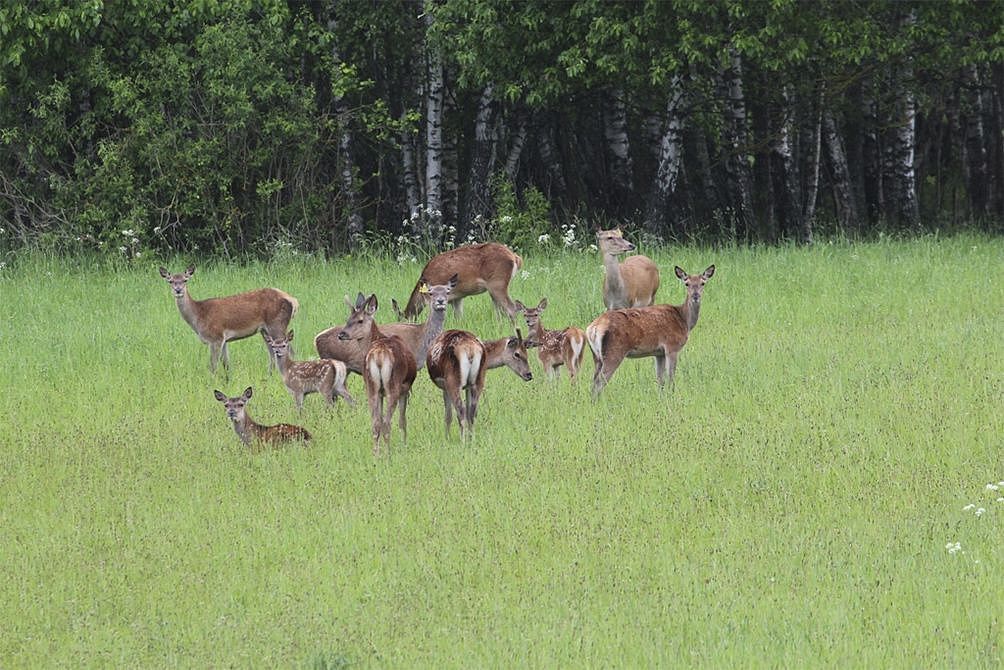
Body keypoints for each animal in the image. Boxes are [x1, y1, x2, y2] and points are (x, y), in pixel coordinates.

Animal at [157, 265, 297, 377]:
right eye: (170, 281)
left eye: (185, 280)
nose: (178, 290)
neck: (199, 316)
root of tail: (293, 301)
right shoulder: (224, 339)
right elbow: (226, 364)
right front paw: (228, 380)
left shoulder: (216, 337)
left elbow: (213, 365)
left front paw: (212, 381)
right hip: (265, 330)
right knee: (272, 353)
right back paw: (269, 376)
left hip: (277, 324)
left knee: (290, 350)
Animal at [337, 293, 415, 456]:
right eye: (348, 319)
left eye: (359, 320)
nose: (341, 334)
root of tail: (378, 356)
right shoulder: (406, 388)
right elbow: (402, 421)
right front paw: (404, 445)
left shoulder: (379, 393)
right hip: (393, 386)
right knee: (387, 422)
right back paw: (388, 454)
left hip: (371, 387)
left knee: (375, 423)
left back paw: (376, 454)